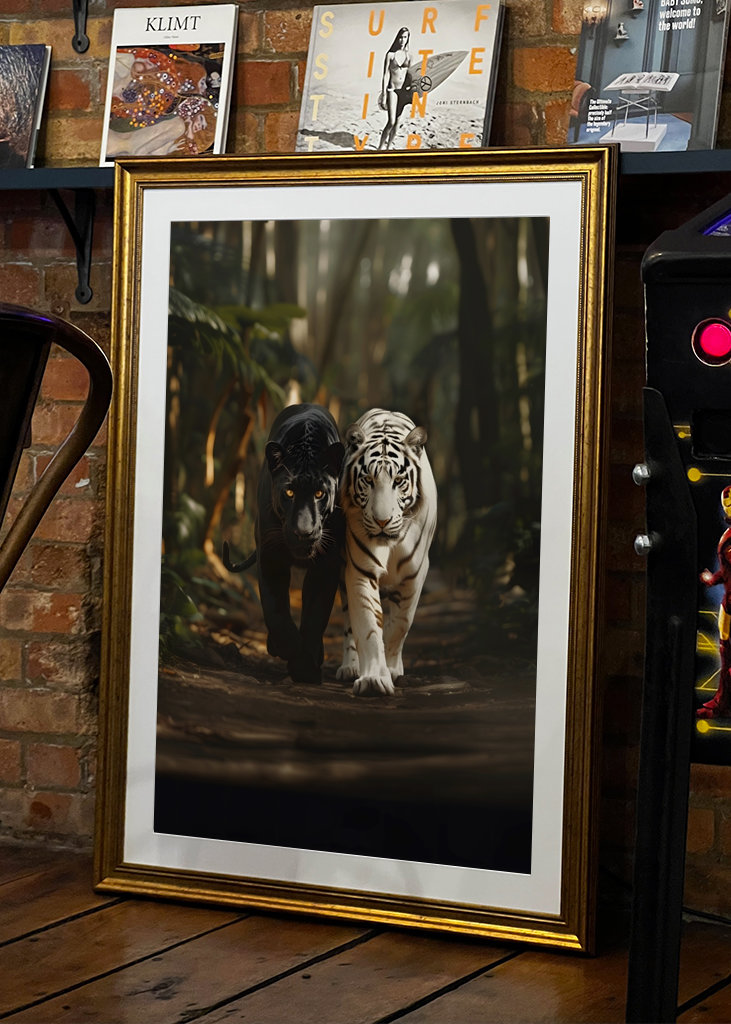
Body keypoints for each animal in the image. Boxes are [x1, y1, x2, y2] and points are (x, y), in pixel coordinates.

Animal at [336, 408, 437, 696]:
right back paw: (350, 667)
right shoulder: (360, 570)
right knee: (349, 623)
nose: (382, 521)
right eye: (368, 480)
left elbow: (400, 624)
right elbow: (369, 626)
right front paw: (373, 679)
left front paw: (391, 669)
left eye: (399, 481)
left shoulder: (416, 574)